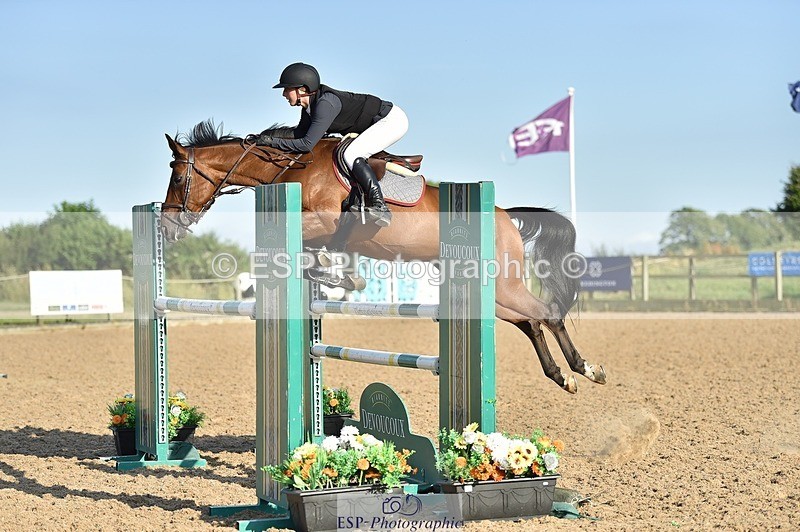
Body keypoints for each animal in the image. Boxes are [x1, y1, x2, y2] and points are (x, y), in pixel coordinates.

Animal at [161, 120, 606, 393]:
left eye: (179, 176)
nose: (168, 226)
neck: (292, 168)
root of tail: (504, 214)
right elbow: (311, 255)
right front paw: (337, 278)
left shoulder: (325, 221)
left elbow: (306, 250)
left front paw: (340, 279)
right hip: (490, 291)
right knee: (530, 322)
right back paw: (561, 377)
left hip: (503, 284)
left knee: (546, 313)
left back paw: (586, 370)